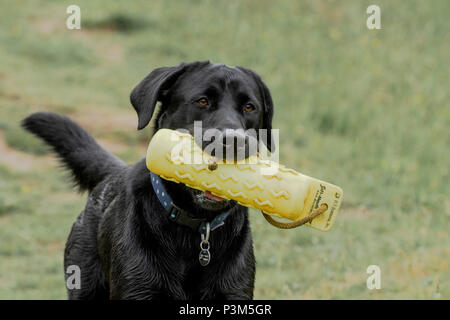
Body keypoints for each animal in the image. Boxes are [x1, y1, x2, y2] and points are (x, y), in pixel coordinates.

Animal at [23, 60, 274, 300]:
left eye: (249, 107)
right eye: (202, 101)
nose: (234, 141)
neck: (196, 228)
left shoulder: (235, 290)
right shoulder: (137, 289)